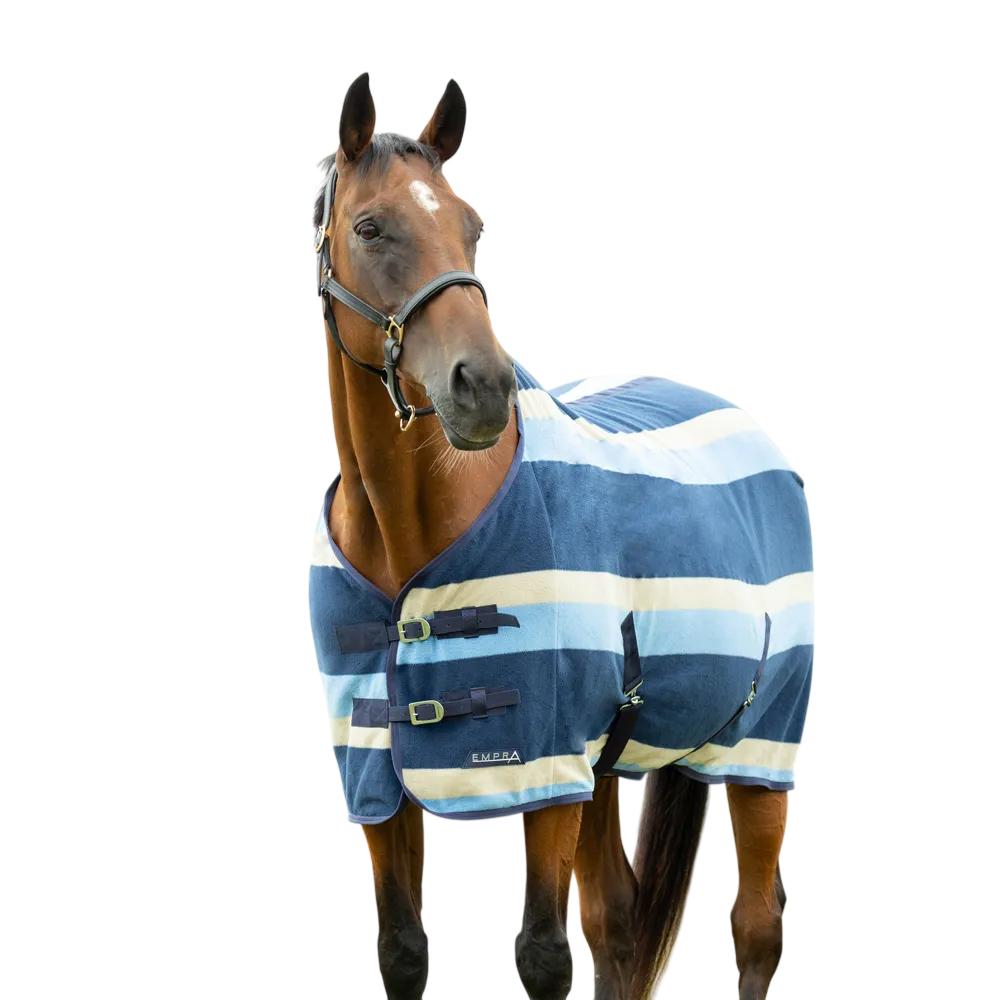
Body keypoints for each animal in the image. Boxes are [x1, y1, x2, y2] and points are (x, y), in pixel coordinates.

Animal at [309, 73, 813, 1000]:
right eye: (370, 227)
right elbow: (403, 950)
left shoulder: (544, 774)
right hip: (606, 766)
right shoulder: (377, 776)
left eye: (472, 224)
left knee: (757, 925)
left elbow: (543, 955)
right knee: (618, 921)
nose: (482, 387)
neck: (407, 534)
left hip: (761, 747)